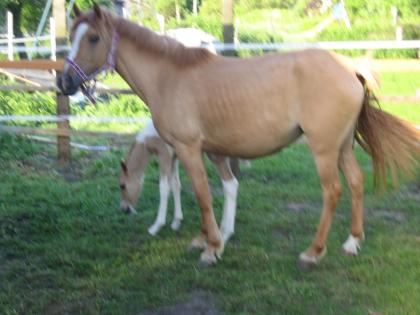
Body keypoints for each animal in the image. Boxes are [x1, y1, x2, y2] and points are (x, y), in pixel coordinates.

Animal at [56, 4, 420, 266]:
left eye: (93, 38)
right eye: (72, 36)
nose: (64, 82)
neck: (169, 76)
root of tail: (349, 68)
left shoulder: (187, 149)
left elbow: (202, 195)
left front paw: (212, 248)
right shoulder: (202, 150)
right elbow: (206, 192)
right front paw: (204, 239)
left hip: (324, 150)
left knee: (333, 192)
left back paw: (314, 251)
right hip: (342, 147)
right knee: (357, 183)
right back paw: (352, 242)